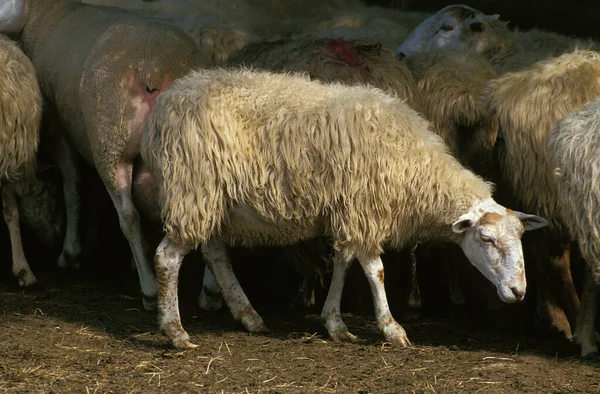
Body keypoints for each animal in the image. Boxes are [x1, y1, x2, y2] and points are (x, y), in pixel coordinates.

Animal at [1, 0, 206, 310]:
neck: (45, 13)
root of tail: (155, 66)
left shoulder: (58, 127)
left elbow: (73, 186)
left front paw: (71, 253)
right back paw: (213, 294)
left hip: (110, 141)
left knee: (128, 215)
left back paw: (149, 290)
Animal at [141, 67, 548, 348]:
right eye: (486, 240)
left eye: (520, 238)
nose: (518, 292)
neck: (414, 165)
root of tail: (166, 103)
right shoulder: (363, 208)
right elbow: (375, 271)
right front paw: (391, 328)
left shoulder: (349, 211)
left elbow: (343, 263)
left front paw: (335, 323)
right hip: (192, 189)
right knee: (167, 258)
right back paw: (176, 332)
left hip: (213, 200)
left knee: (215, 253)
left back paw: (249, 316)